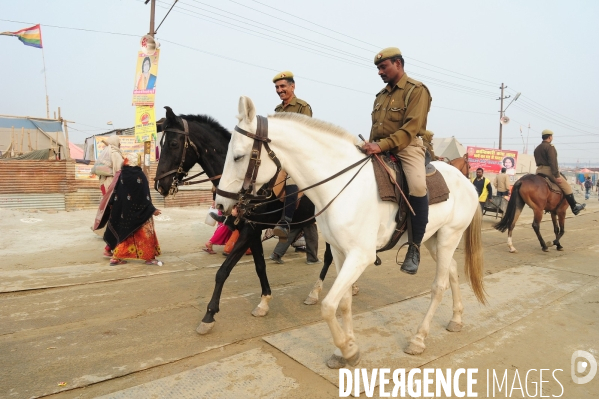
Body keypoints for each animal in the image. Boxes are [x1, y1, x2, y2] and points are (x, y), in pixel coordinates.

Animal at [155, 108, 342, 336]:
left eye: (173, 144)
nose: (160, 184)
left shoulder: (249, 231)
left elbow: (223, 271)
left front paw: (209, 315)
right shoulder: (251, 230)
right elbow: (260, 266)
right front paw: (264, 302)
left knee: (330, 257)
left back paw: (317, 292)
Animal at [217, 96, 488, 368]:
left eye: (238, 156)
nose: (220, 204)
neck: (341, 185)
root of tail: (466, 181)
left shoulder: (360, 256)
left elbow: (328, 306)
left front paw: (348, 349)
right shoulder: (339, 252)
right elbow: (344, 303)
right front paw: (344, 349)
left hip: (449, 237)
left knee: (438, 286)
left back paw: (419, 339)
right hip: (433, 239)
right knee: (452, 270)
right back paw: (456, 318)